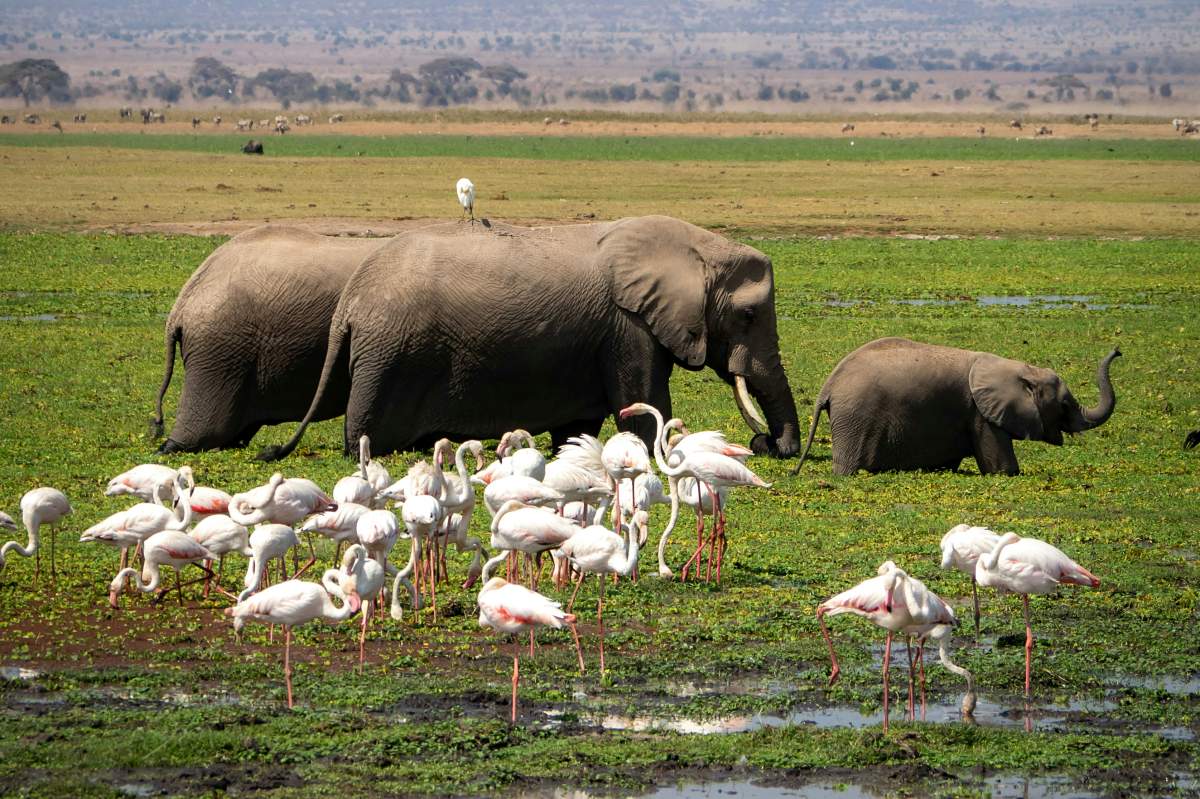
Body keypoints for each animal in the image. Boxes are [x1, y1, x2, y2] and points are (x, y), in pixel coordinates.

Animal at [259, 215, 800, 461]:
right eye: (749, 314)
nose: (768, 444)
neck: (695, 244)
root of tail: (348, 304)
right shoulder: (628, 328)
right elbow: (643, 405)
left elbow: (579, 426)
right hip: (391, 355)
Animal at [793, 337, 1120, 476]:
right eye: (1064, 404)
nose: (1118, 351)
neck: (1015, 368)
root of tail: (829, 385)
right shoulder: (982, 415)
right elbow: (1002, 469)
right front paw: (1008, 473)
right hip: (855, 417)